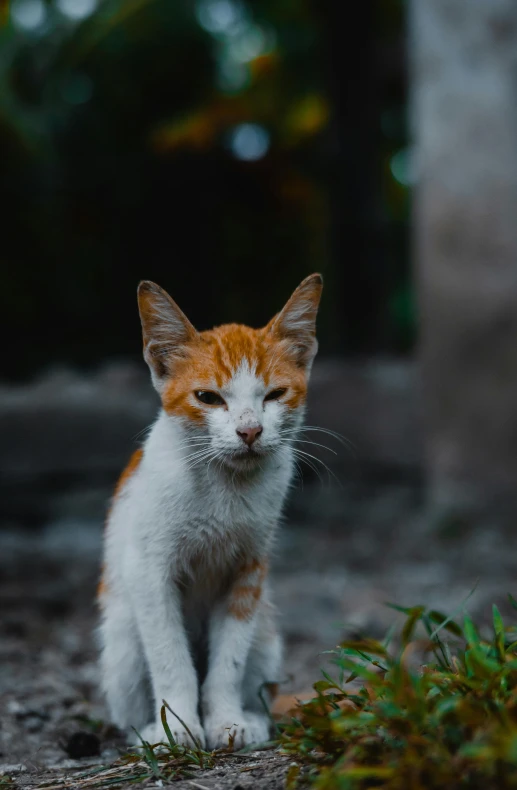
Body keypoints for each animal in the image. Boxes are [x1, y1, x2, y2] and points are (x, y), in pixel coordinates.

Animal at [98, 272, 322, 748]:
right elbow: (170, 657)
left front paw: (227, 721)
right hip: (122, 637)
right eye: (208, 397)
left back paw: (253, 717)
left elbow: (228, 662)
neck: (225, 485)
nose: (250, 430)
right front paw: (179, 727)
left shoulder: (249, 571)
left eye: (275, 394)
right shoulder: (148, 571)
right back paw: (148, 730)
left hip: (266, 630)